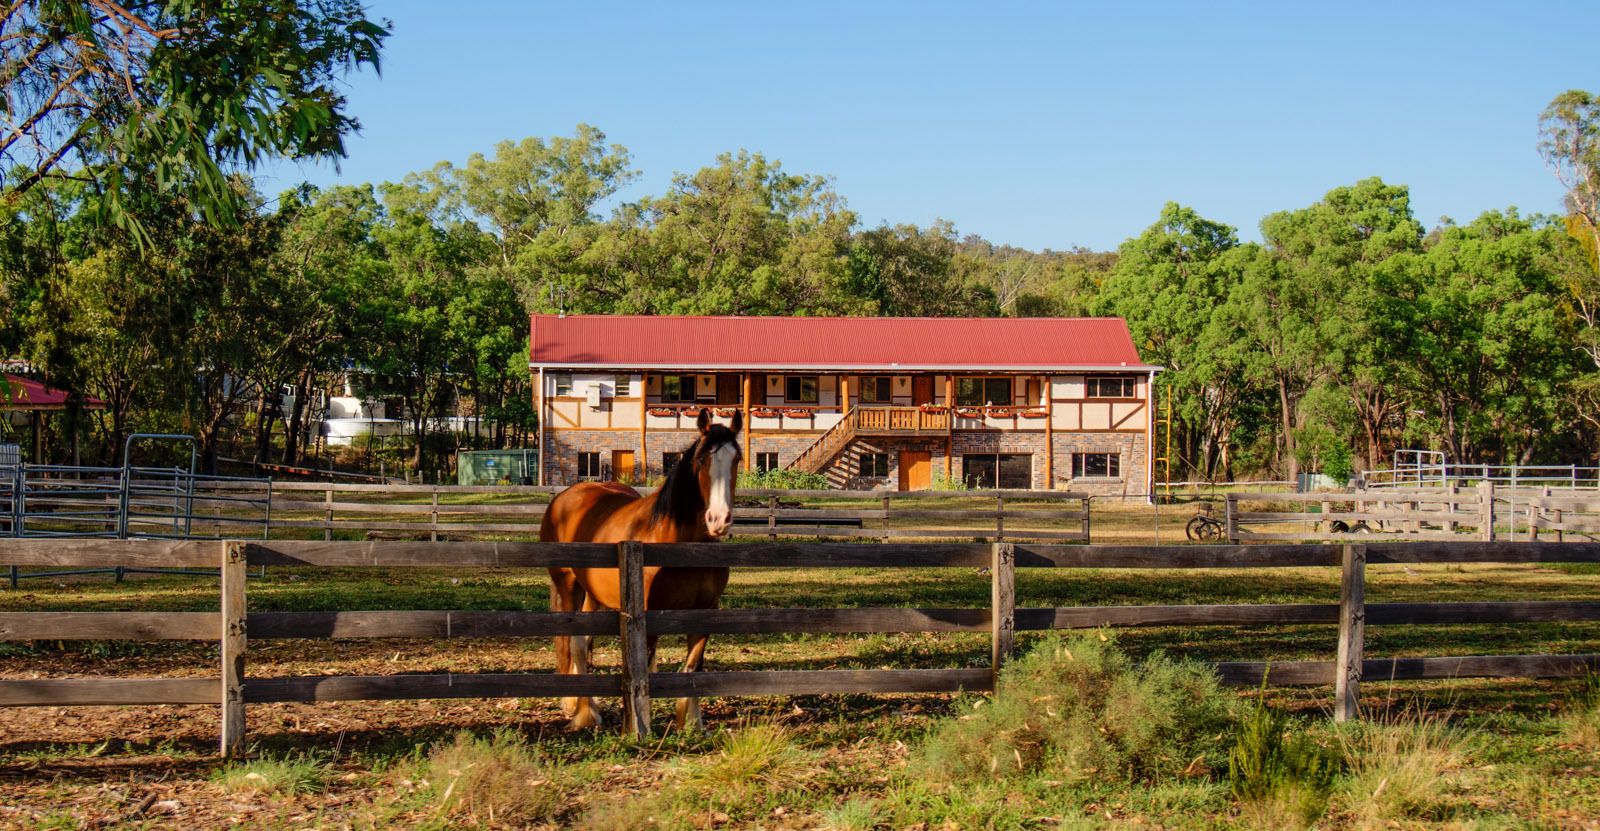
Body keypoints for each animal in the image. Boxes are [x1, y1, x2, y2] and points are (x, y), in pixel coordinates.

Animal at [534, 406, 739, 733]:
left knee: (585, 641)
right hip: (568, 586)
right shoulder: (648, 611)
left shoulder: (705, 610)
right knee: (573, 642)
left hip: (594, 595)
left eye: (737, 459)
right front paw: (642, 723)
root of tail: (565, 497)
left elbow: (693, 666)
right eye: (702, 459)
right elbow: (646, 663)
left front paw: (692, 723)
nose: (718, 519)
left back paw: (588, 706)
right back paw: (581, 711)